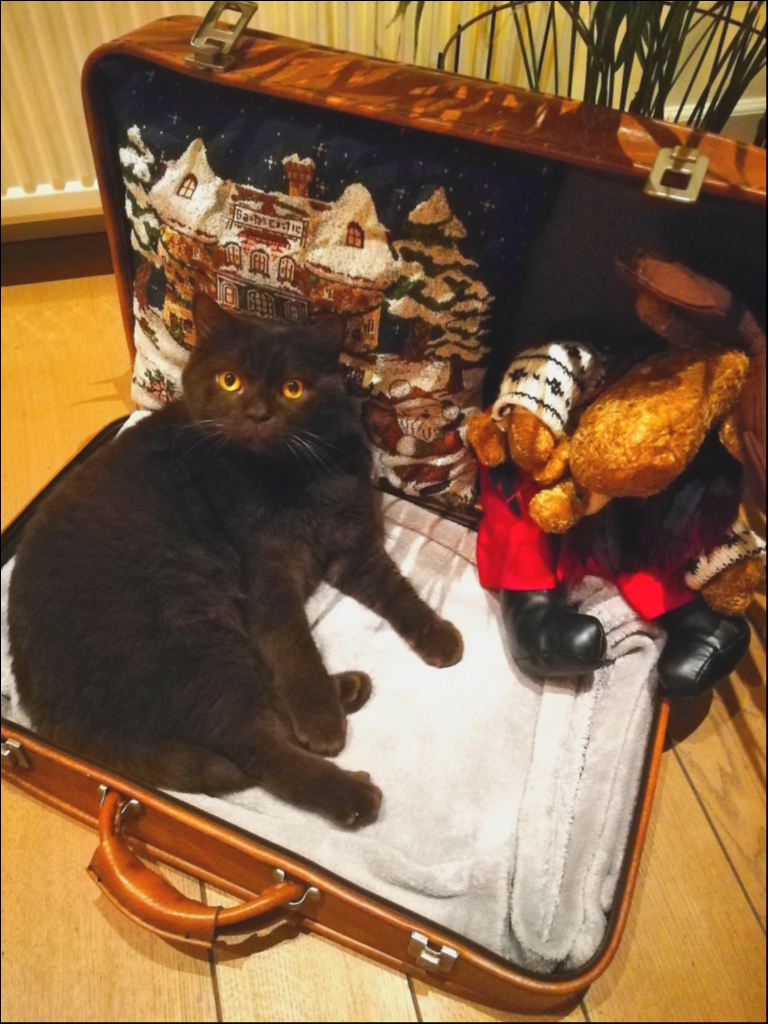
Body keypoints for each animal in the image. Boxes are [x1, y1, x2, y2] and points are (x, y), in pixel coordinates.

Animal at [8, 292, 463, 827]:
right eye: (231, 380)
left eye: (292, 388)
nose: (258, 412)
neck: (292, 476)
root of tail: (47, 715)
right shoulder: (267, 577)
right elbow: (292, 646)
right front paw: (320, 719)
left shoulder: (353, 547)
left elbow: (398, 590)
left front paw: (438, 636)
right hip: (193, 639)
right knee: (257, 748)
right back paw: (350, 789)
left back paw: (348, 689)